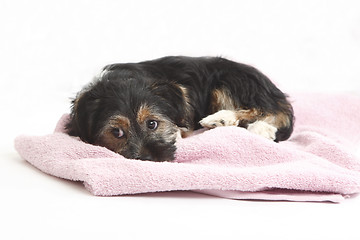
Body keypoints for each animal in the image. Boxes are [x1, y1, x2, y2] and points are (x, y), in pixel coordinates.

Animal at [66, 56, 294, 161]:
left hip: (229, 83)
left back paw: (229, 120)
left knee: (267, 110)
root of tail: (273, 89)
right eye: (117, 132)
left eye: (152, 124)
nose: (148, 159)